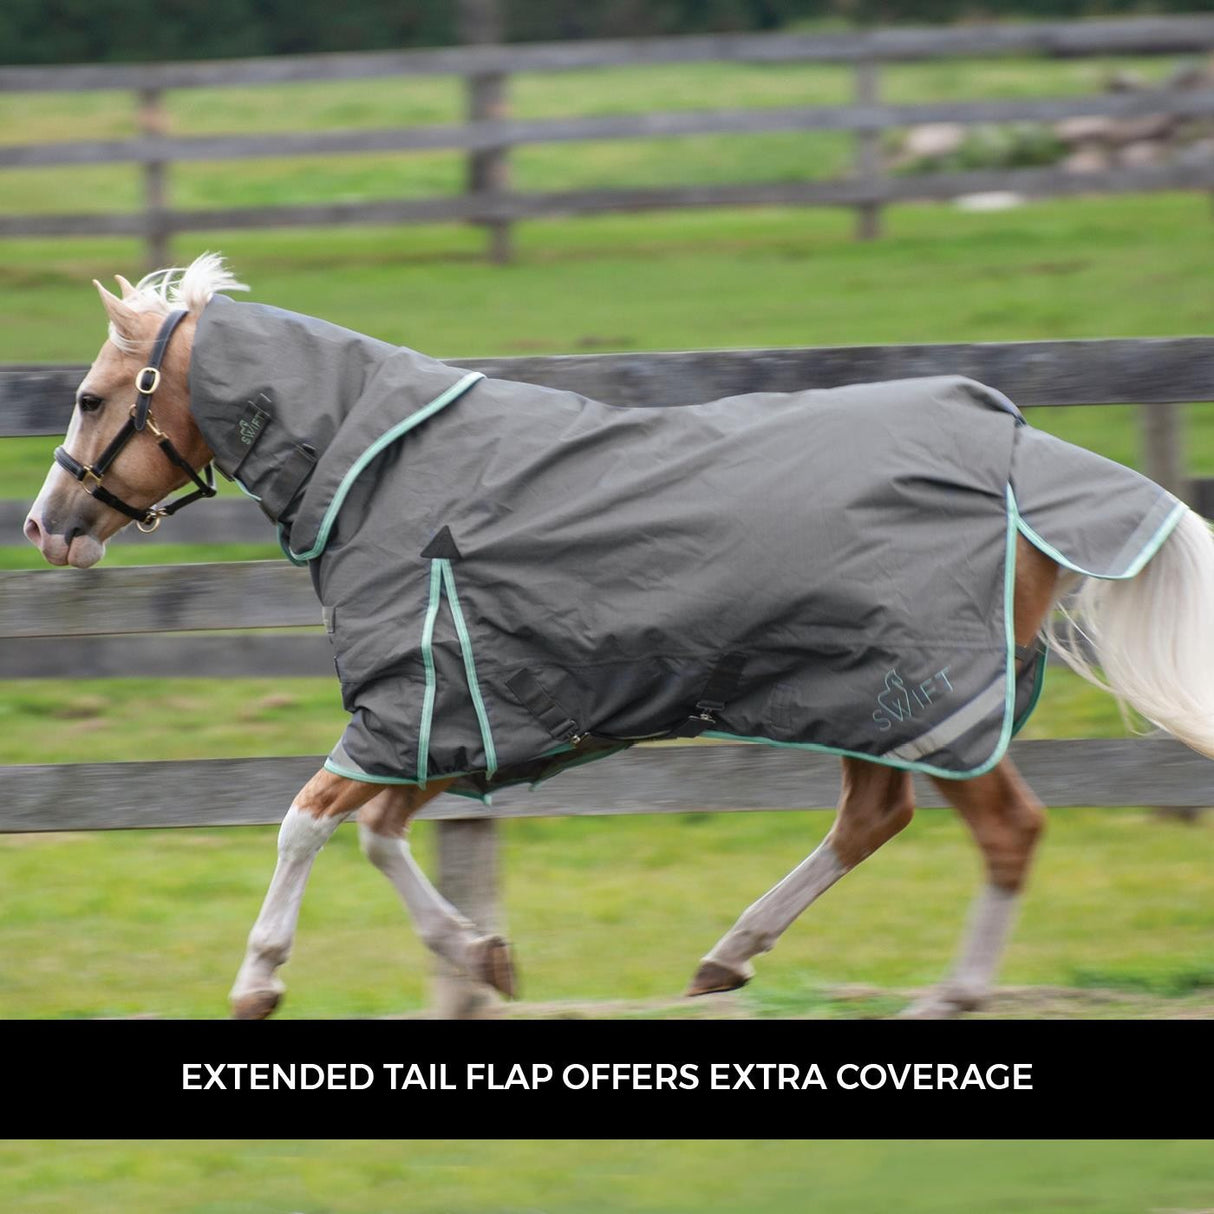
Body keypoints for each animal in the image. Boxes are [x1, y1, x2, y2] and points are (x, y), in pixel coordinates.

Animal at [24, 254, 1214, 1020]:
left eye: (87, 398)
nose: (45, 525)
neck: (381, 468)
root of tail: (1029, 452)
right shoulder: (457, 712)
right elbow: (380, 834)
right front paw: (484, 957)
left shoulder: (409, 704)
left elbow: (307, 823)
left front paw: (259, 980)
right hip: (867, 697)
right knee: (872, 819)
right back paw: (726, 961)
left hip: (930, 696)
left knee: (1005, 831)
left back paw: (947, 996)